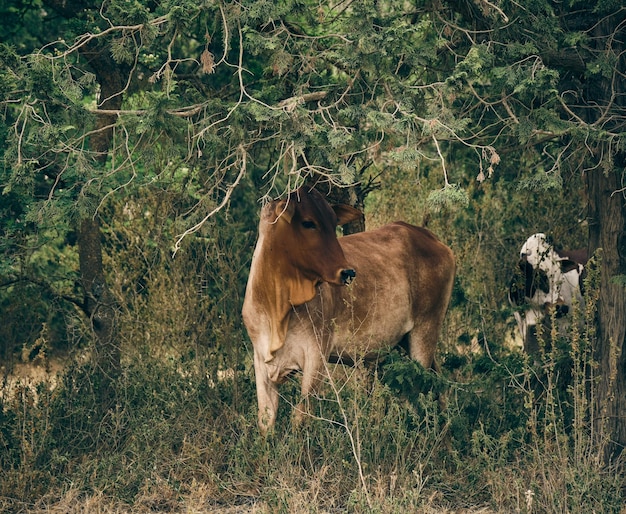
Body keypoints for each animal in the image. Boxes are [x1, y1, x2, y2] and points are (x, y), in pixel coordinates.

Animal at [240, 185, 454, 432]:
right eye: (308, 222)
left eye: (334, 223)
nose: (348, 272)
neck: (277, 307)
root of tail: (430, 237)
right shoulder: (261, 361)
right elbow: (266, 421)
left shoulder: (316, 356)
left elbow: (302, 416)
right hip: (404, 343)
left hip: (424, 333)